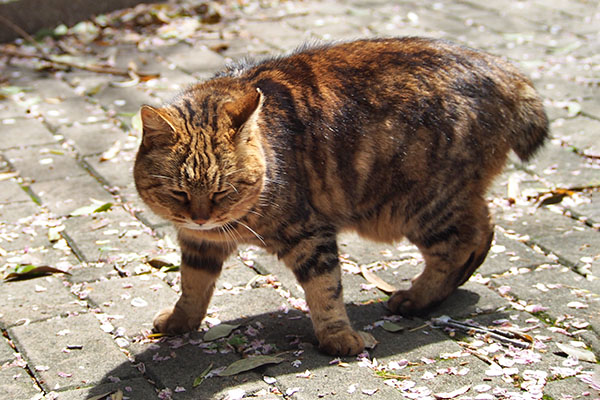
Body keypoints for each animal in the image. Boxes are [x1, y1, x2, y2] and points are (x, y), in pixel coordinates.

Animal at [136, 37, 548, 356]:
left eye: (224, 190)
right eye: (179, 192)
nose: (201, 217)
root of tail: (506, 73)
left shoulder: (310, 234)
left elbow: (326, 290)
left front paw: (338, 337)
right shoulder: (198, 243)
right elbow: (192, 286)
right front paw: (180, 321)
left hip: (422, 207)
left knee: (462, 243)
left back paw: (415, 298)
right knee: (483, 229)